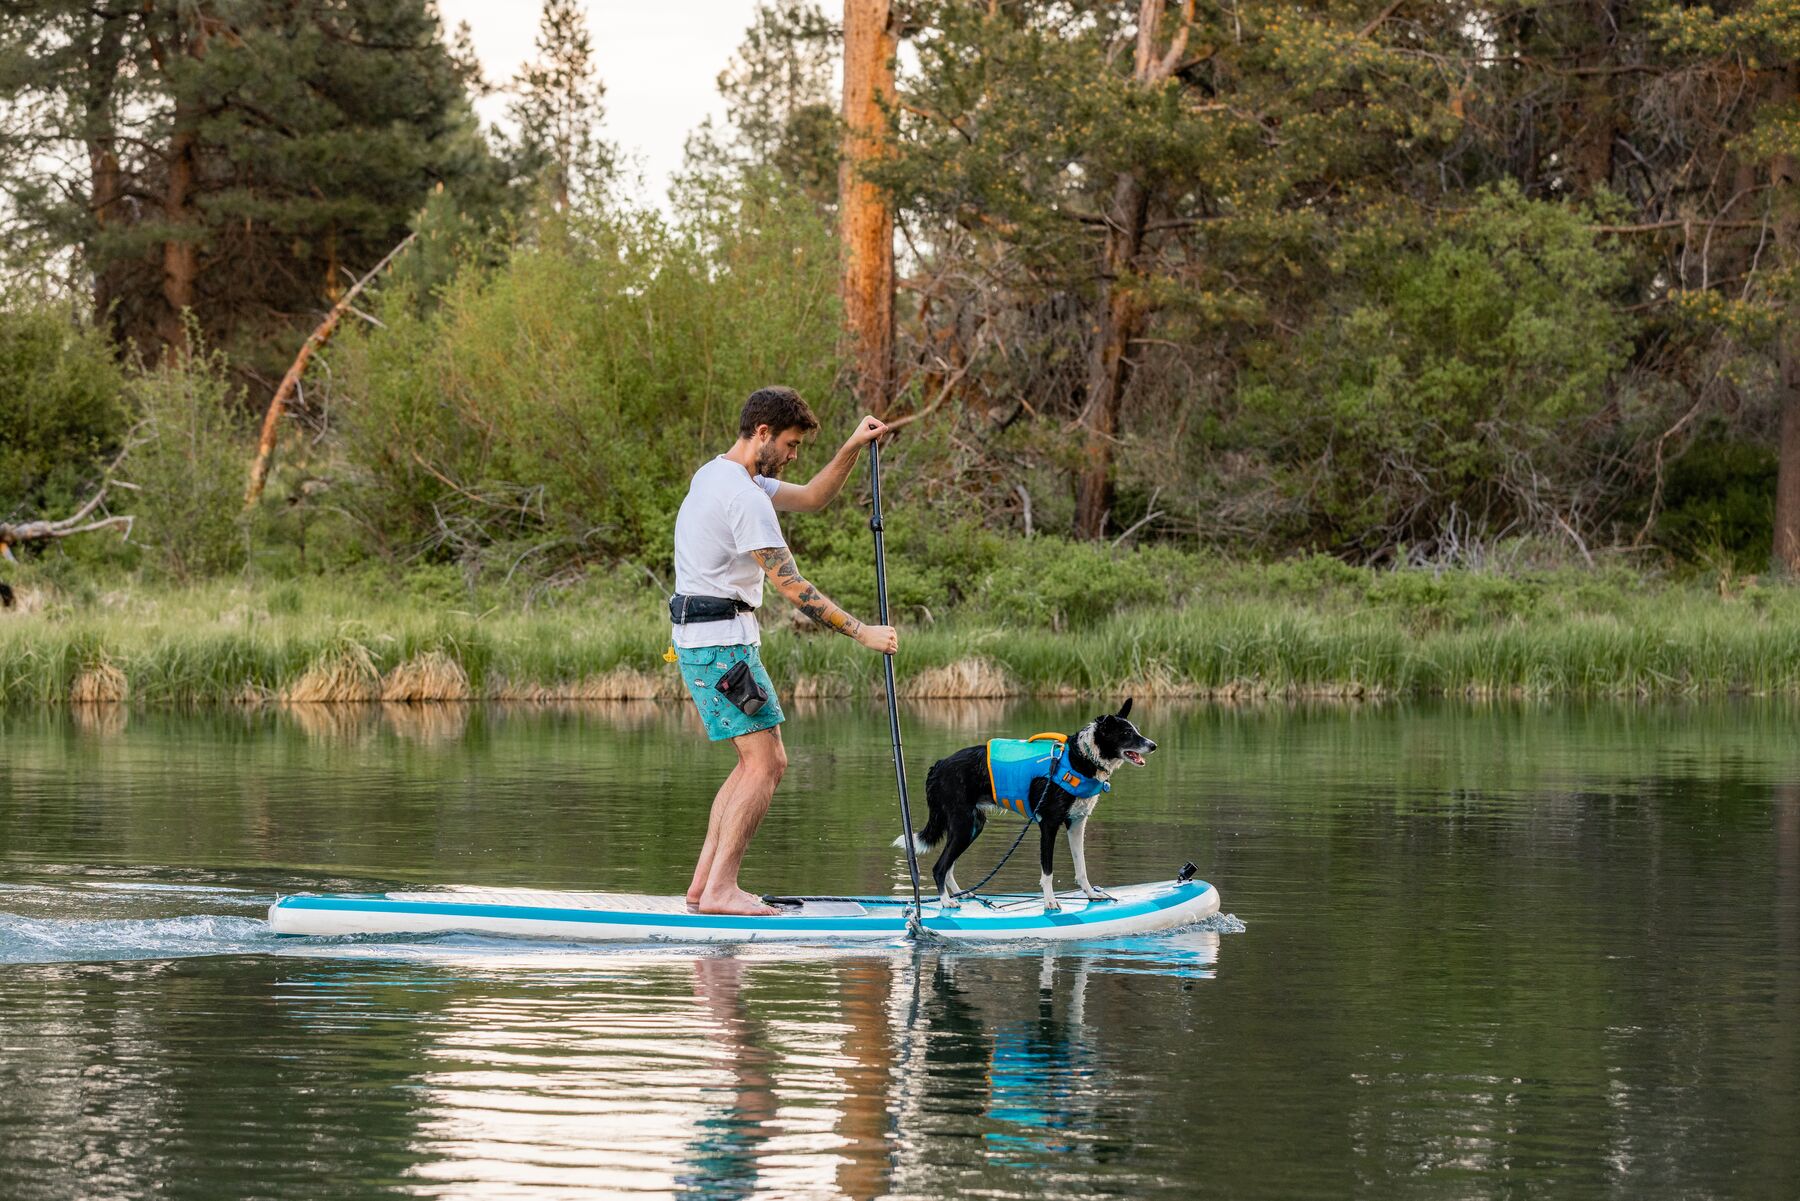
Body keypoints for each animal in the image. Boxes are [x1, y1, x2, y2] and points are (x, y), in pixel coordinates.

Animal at [896, 695, 1159, 911]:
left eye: (1136, 730)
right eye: (1126, 734)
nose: (1153, 745)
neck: (1079, 757)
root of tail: (939, 765)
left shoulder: (1076, 825)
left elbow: (1081, 868)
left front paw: (1091, 894)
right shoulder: (1049, 824)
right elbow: (1048, 871)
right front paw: (1050, 902)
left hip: (972, 826)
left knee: (949, 866)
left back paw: (961, 894)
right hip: (962, 825)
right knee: (939, 867)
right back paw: (946, 901)